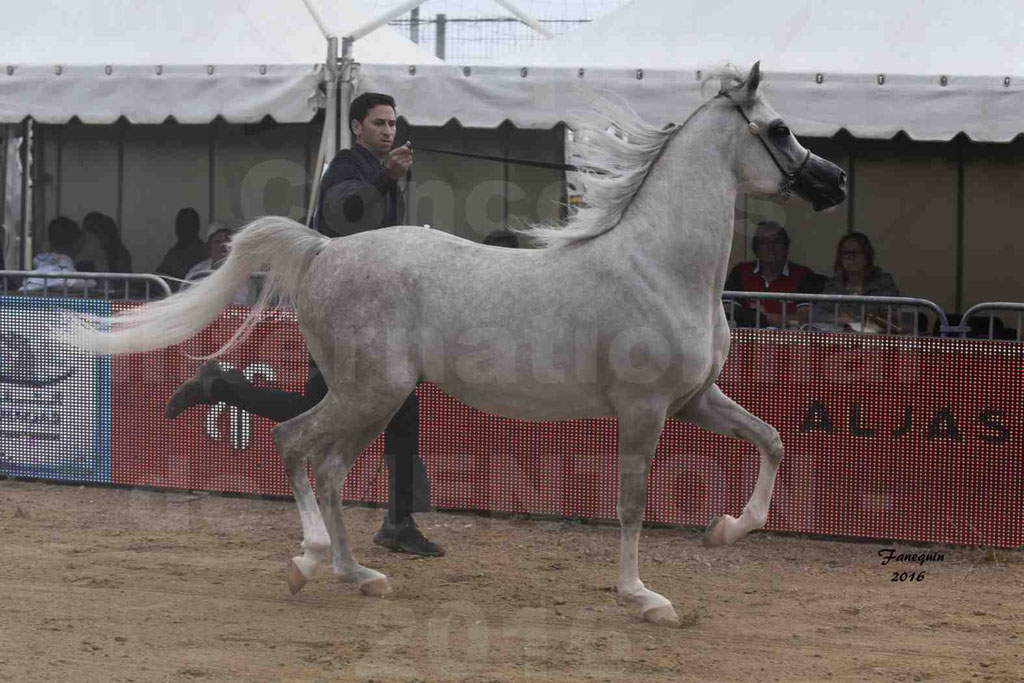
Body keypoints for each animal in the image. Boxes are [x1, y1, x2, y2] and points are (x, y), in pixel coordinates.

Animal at [66, 63, 847, 626]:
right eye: (779, 128)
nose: (834, 181)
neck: (660, 265)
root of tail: (322, 250)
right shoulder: (645, 409)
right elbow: (631, 505)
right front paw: (644, 598)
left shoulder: (694, 400)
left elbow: (774, 439)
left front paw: (723, 530)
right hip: (370, 390)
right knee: (294, 443)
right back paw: (309, 560)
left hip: (378, 397)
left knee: (331, 468)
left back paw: (359, 574)